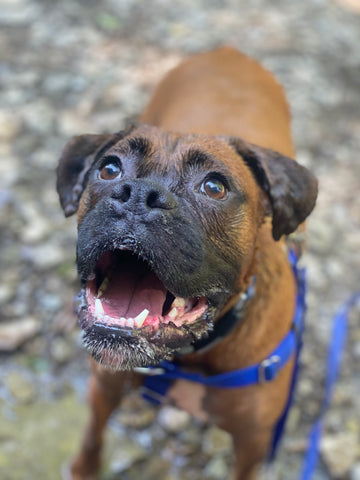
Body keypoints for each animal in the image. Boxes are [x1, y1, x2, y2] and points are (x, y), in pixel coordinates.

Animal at [57, 46, 318, 480]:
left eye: (214, 187)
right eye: (109, 168)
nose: (138, 194)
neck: (191, 357)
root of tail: (228, 50)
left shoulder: (253, 443)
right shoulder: (105, 385)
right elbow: (93, 434)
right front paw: (83, 468)